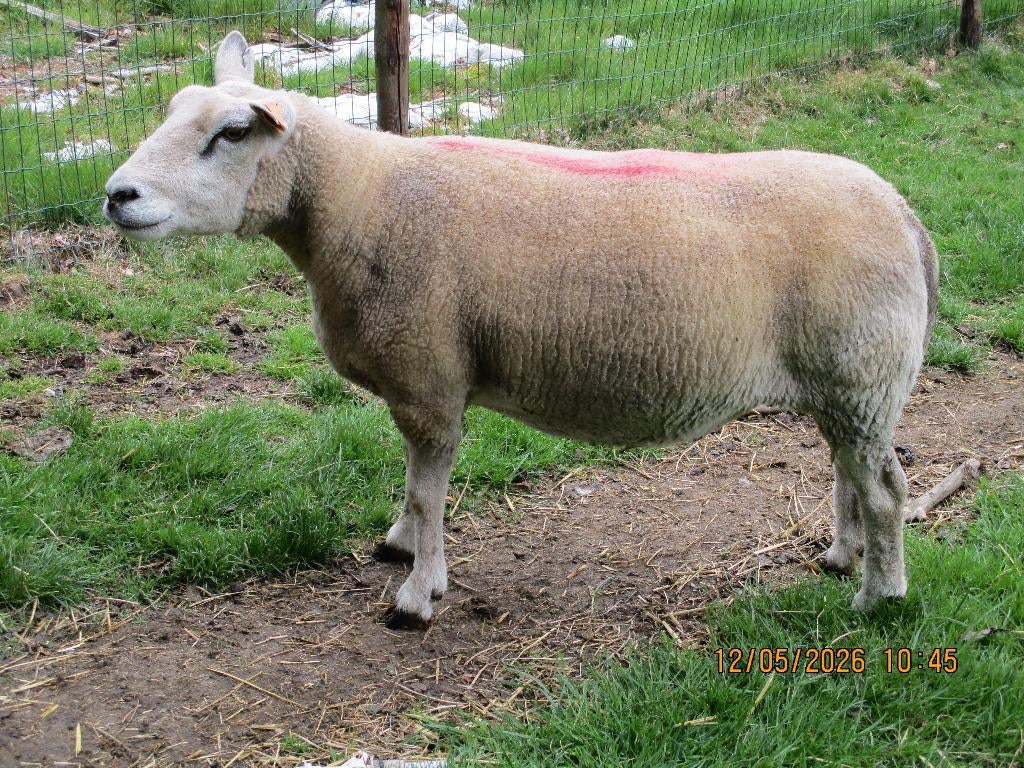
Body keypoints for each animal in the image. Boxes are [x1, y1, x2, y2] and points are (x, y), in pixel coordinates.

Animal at [103, 31, 938, 629]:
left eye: (232, 132)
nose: (117, 195)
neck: (353, 201)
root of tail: (905, 212)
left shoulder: (430, 380)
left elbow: (428, 492)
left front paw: (418, 594)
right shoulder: (419, 386)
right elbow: (411, 490)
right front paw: (400, 546)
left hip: (861, 370)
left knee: (886, 490)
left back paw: (879, 598)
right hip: (847, 380)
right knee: (851, 472)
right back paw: (841, 557)